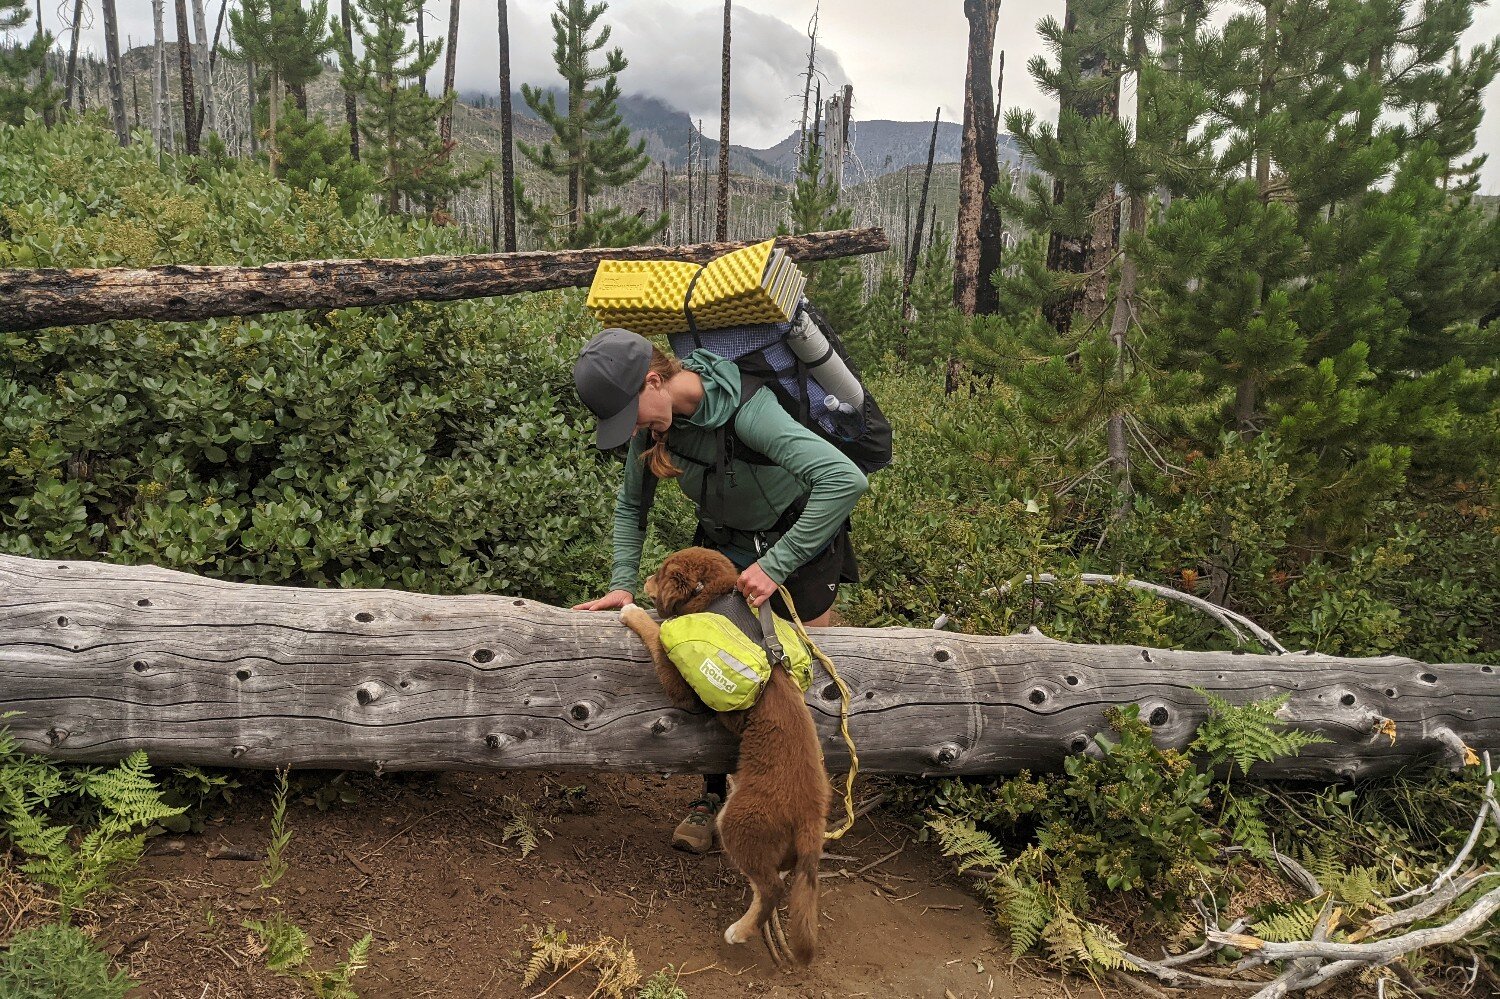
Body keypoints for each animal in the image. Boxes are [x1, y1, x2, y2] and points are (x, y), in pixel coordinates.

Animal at [618, 549, 834, 960]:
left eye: (661, 572)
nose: (645, 579)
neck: (715, 599)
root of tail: (812, 820)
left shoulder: (681, 685)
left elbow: (654, 632)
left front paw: (631, 610)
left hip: (739, 823)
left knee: (772, 888)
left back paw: (740, 931)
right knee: (775, 877)